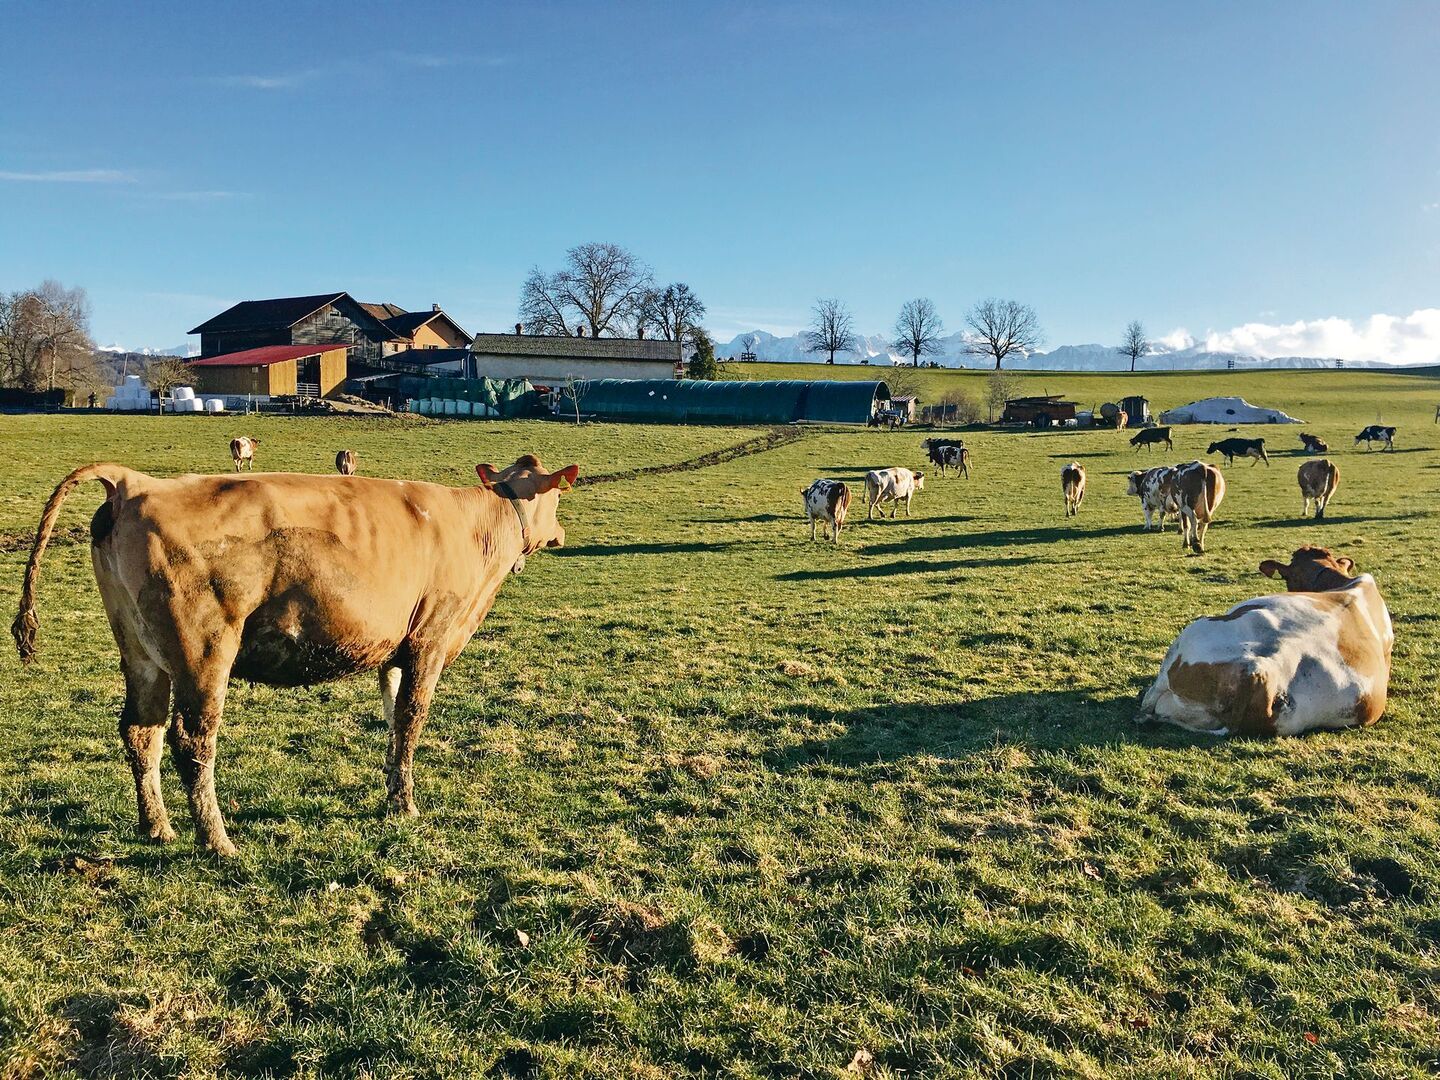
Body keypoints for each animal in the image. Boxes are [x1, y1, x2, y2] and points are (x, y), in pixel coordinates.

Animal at [10, 453, 579, 855]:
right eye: (558, 495)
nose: (560, 534)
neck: (480, 525)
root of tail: (138, 482)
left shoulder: (394, 649)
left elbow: (392, 716)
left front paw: (391, 796)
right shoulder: (430, 639)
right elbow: (412, 719)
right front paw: (406, 805)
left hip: (141, 651)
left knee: (140, 732)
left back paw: (158, 828)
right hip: (204, 648)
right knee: (191, 740)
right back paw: (217, 842)